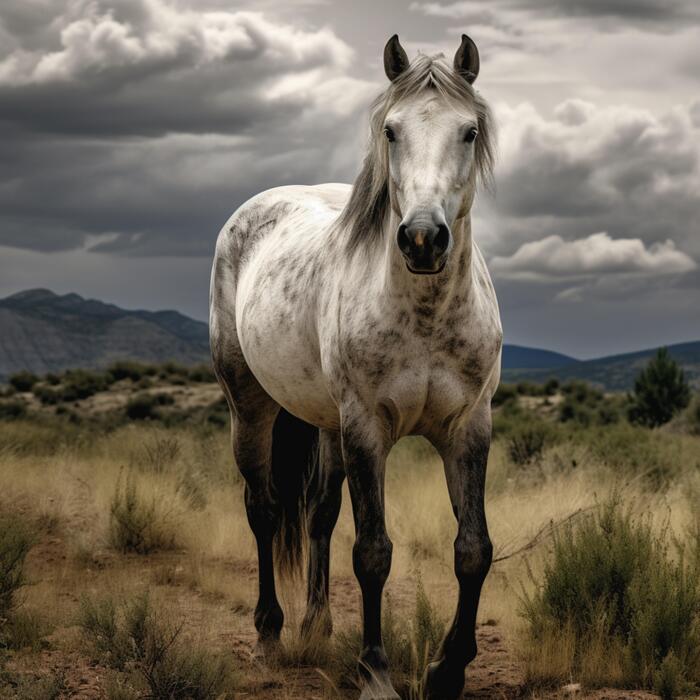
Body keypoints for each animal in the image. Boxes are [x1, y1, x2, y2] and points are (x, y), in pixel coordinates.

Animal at [210, 33, 501, 700]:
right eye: (391, 130)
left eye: (469, 131)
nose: (422, 239)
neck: (425, 315)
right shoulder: (367, 427)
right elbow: (372, 552)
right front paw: (375, 672)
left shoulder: (468, 427)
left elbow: (473, 549)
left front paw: (448, 670)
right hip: (251, 407)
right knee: (264, 510)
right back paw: (270, 634)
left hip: (325, 423)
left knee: (318, 512)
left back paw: (316, 626)